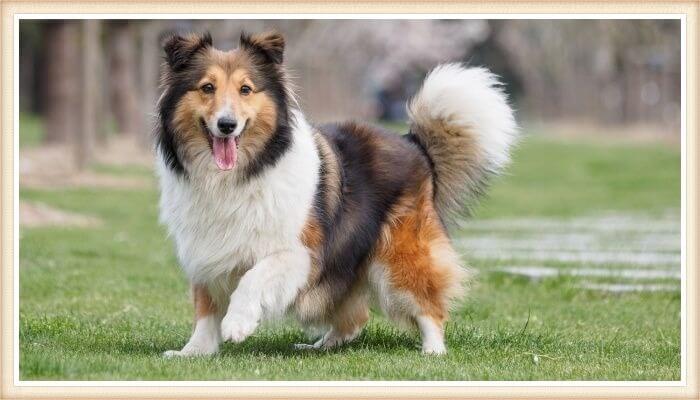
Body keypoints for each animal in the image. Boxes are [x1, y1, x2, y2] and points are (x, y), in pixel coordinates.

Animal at [157, 32, 520, 356]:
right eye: (207, 88)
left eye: (245, 89)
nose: (227, 125)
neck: (242, 172)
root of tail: (414, 143)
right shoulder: (206, 250)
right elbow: (205, 308)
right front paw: (194, 352)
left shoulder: (299, 252)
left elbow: (252, 277)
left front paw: (237, 323)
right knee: (355, 317)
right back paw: (320, 345)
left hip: (399, 257)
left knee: (429, 305)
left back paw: (433, 350)